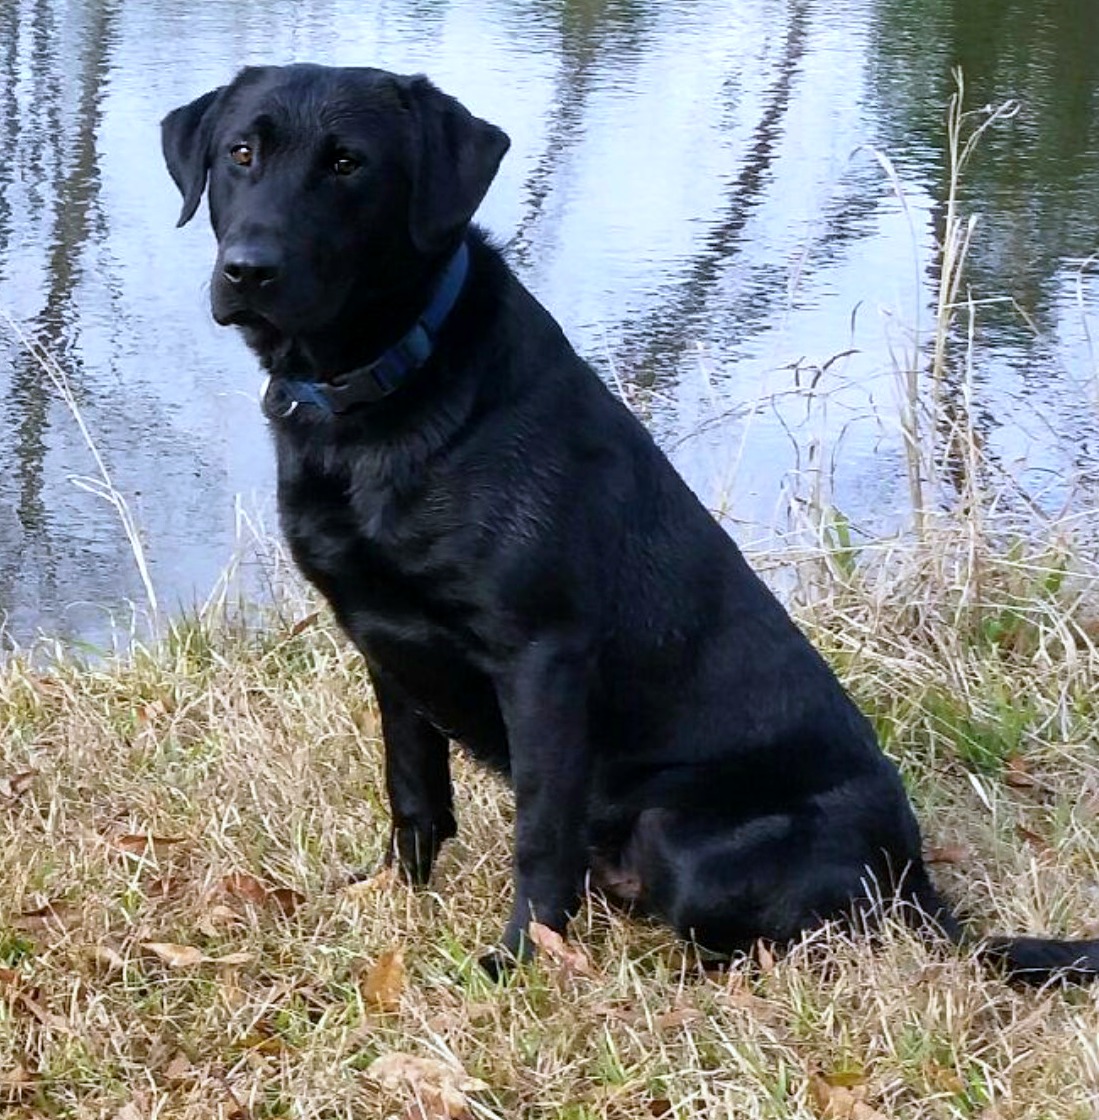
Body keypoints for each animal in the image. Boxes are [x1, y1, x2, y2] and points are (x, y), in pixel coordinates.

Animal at [162, 65, 1097, 981]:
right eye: (241, 152)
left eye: (347, 163)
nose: (248, 270)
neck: (376, 398)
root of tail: (911, 879)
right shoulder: (384, 643)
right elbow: (413, 792)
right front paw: (390, 894)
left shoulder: (542, 655)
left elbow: (539, 833)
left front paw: (519, 960)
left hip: (680, 832)